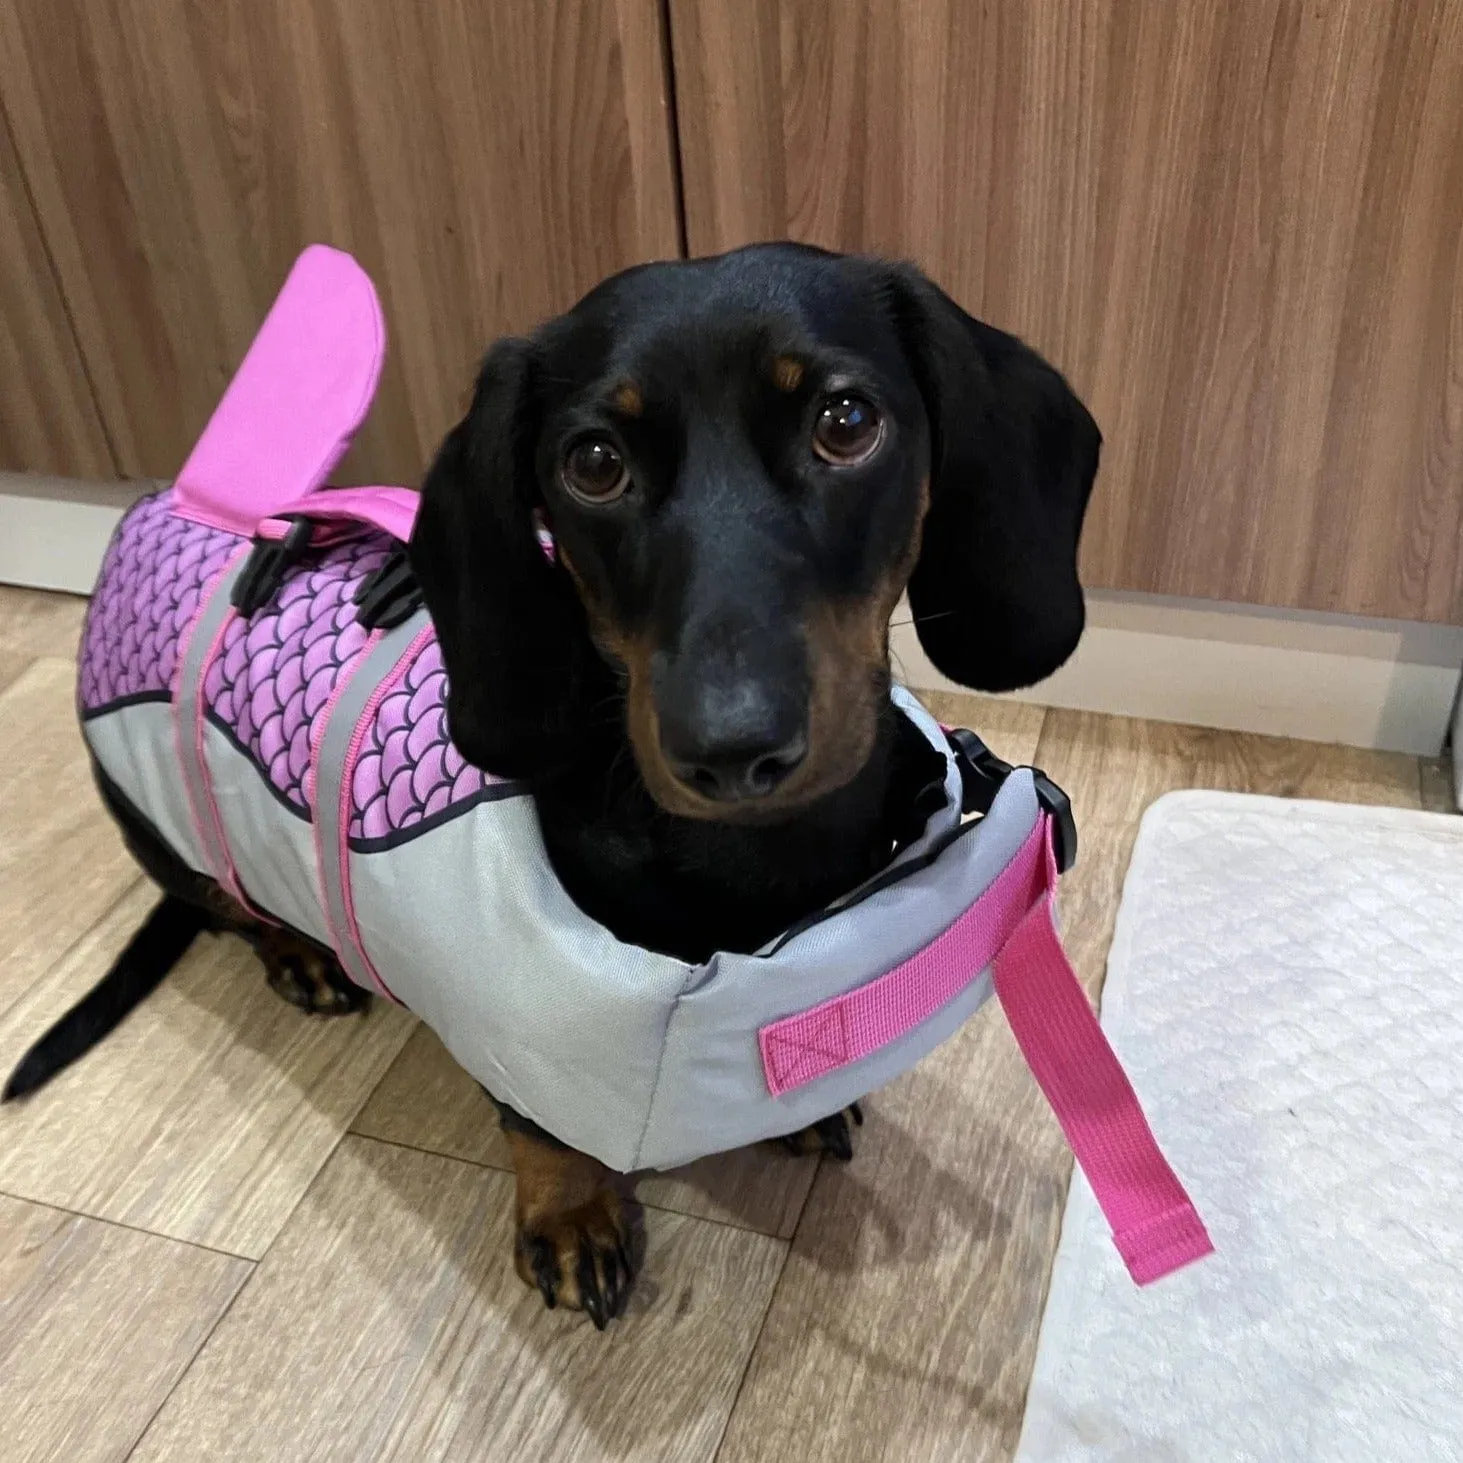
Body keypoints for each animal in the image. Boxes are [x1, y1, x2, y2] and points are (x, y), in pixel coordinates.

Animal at [2, 242, 1100, 1328]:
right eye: (594, 464)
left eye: (845, 421)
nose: (729, 746)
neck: (751, 863)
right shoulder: (512, 1017)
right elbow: (538, 1120)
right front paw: (573, 1212)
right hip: (160, 831)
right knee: (220, 902)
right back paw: (295, 949)